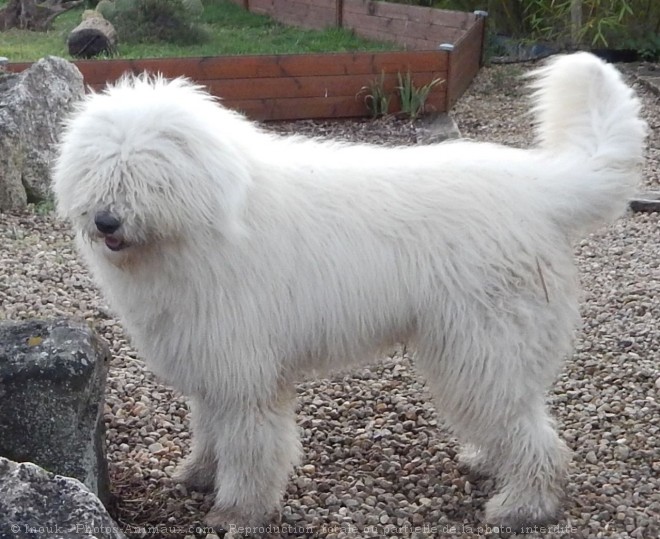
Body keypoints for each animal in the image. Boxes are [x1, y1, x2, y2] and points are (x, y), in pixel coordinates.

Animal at [52, 54, 644, 532]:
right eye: (98, 168)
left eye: (146, 174)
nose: (106, 222)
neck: (205, 222)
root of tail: (540, 188)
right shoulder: (209, 357)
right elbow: (209, 426)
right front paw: (199, 473)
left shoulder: (246, 370)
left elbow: (249, 443)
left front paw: (239, 510)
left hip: (485, 347)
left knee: (534, 436)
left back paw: (523, 506)